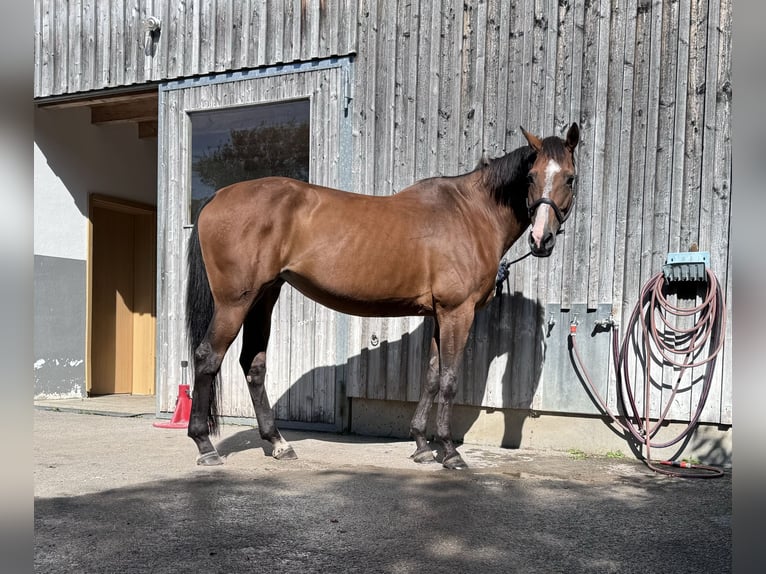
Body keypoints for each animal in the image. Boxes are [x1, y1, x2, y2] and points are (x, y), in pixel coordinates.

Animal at [188, 124, 584, 470]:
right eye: (531, 177)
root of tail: (217, 197)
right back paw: (205, 446)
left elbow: (431, 376)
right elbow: (450, 379)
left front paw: (422, 446)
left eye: (570, 177)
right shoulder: (458, 312)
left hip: (264, 297)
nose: (541, 239)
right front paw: (450, 452)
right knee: (208, 358)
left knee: (253, 365)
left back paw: (278, 443)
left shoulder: (438, 314)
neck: (471, 214)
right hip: (235, 302)